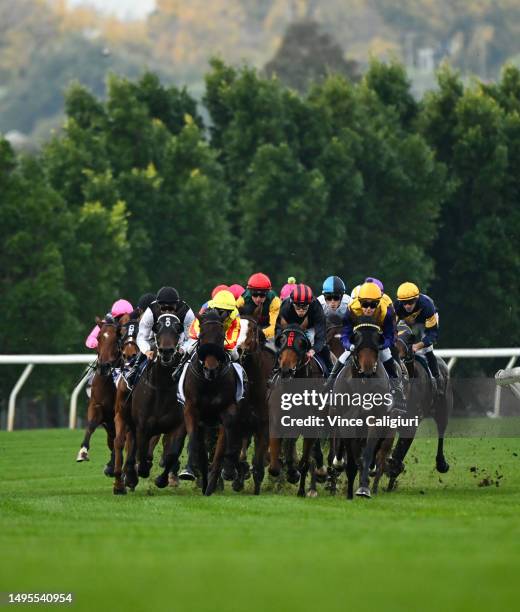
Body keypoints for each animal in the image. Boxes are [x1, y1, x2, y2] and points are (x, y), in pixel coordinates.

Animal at [129, 314, 186, 490]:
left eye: (177, 328)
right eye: (157, 327)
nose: (166, 351)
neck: (162, 387)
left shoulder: (179, 425)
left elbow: (172, 453)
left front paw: (162, 479)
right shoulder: (142, 425)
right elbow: (140, 451)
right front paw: (139, 472)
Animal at [182, 310, 247, 498]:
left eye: (221, 337)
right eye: (202, 335)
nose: (210, 369)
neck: (209, 382)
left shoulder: (227, 411)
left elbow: (220, 453)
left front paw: (217, 480)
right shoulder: (191, 409)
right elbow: (194, 440)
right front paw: (189, 471)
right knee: (203, 453)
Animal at [270, 326, 322, 498]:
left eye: (301, 343)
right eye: (281, 341)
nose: (286, 370)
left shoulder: (310, 426)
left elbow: (304, 461)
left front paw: (299, 483)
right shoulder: (277, 421)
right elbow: (274, 467)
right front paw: (288, 471)